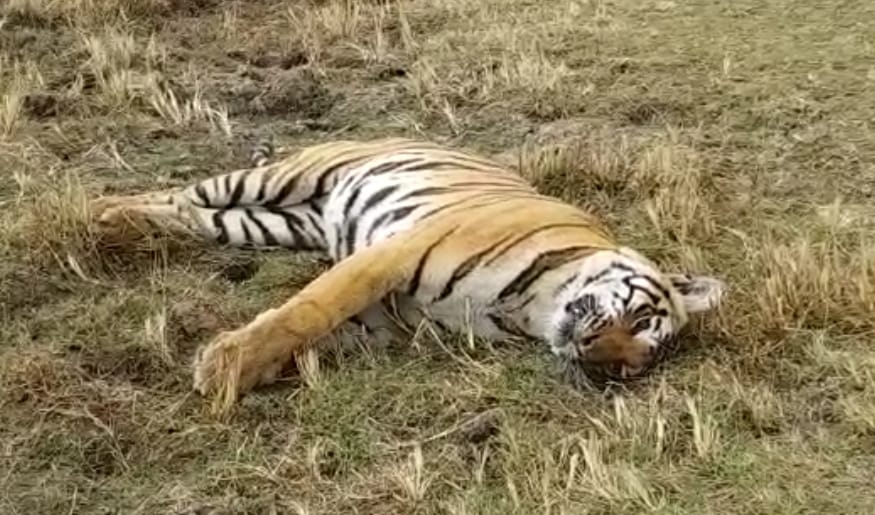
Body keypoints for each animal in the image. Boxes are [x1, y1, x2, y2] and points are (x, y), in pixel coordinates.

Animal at [89, 137, 725, 415]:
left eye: (630, 368)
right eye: (639, 318)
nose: (599, 359)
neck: (527, 311)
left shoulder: (388, 324)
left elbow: (317, 337)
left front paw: (242, 366)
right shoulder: (388, 256)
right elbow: (308, 310)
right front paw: (226, 368)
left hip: (270, 224)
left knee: (189, 212)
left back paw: (118, 223)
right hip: (281, 179)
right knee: (184, 191)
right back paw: (102, 213)